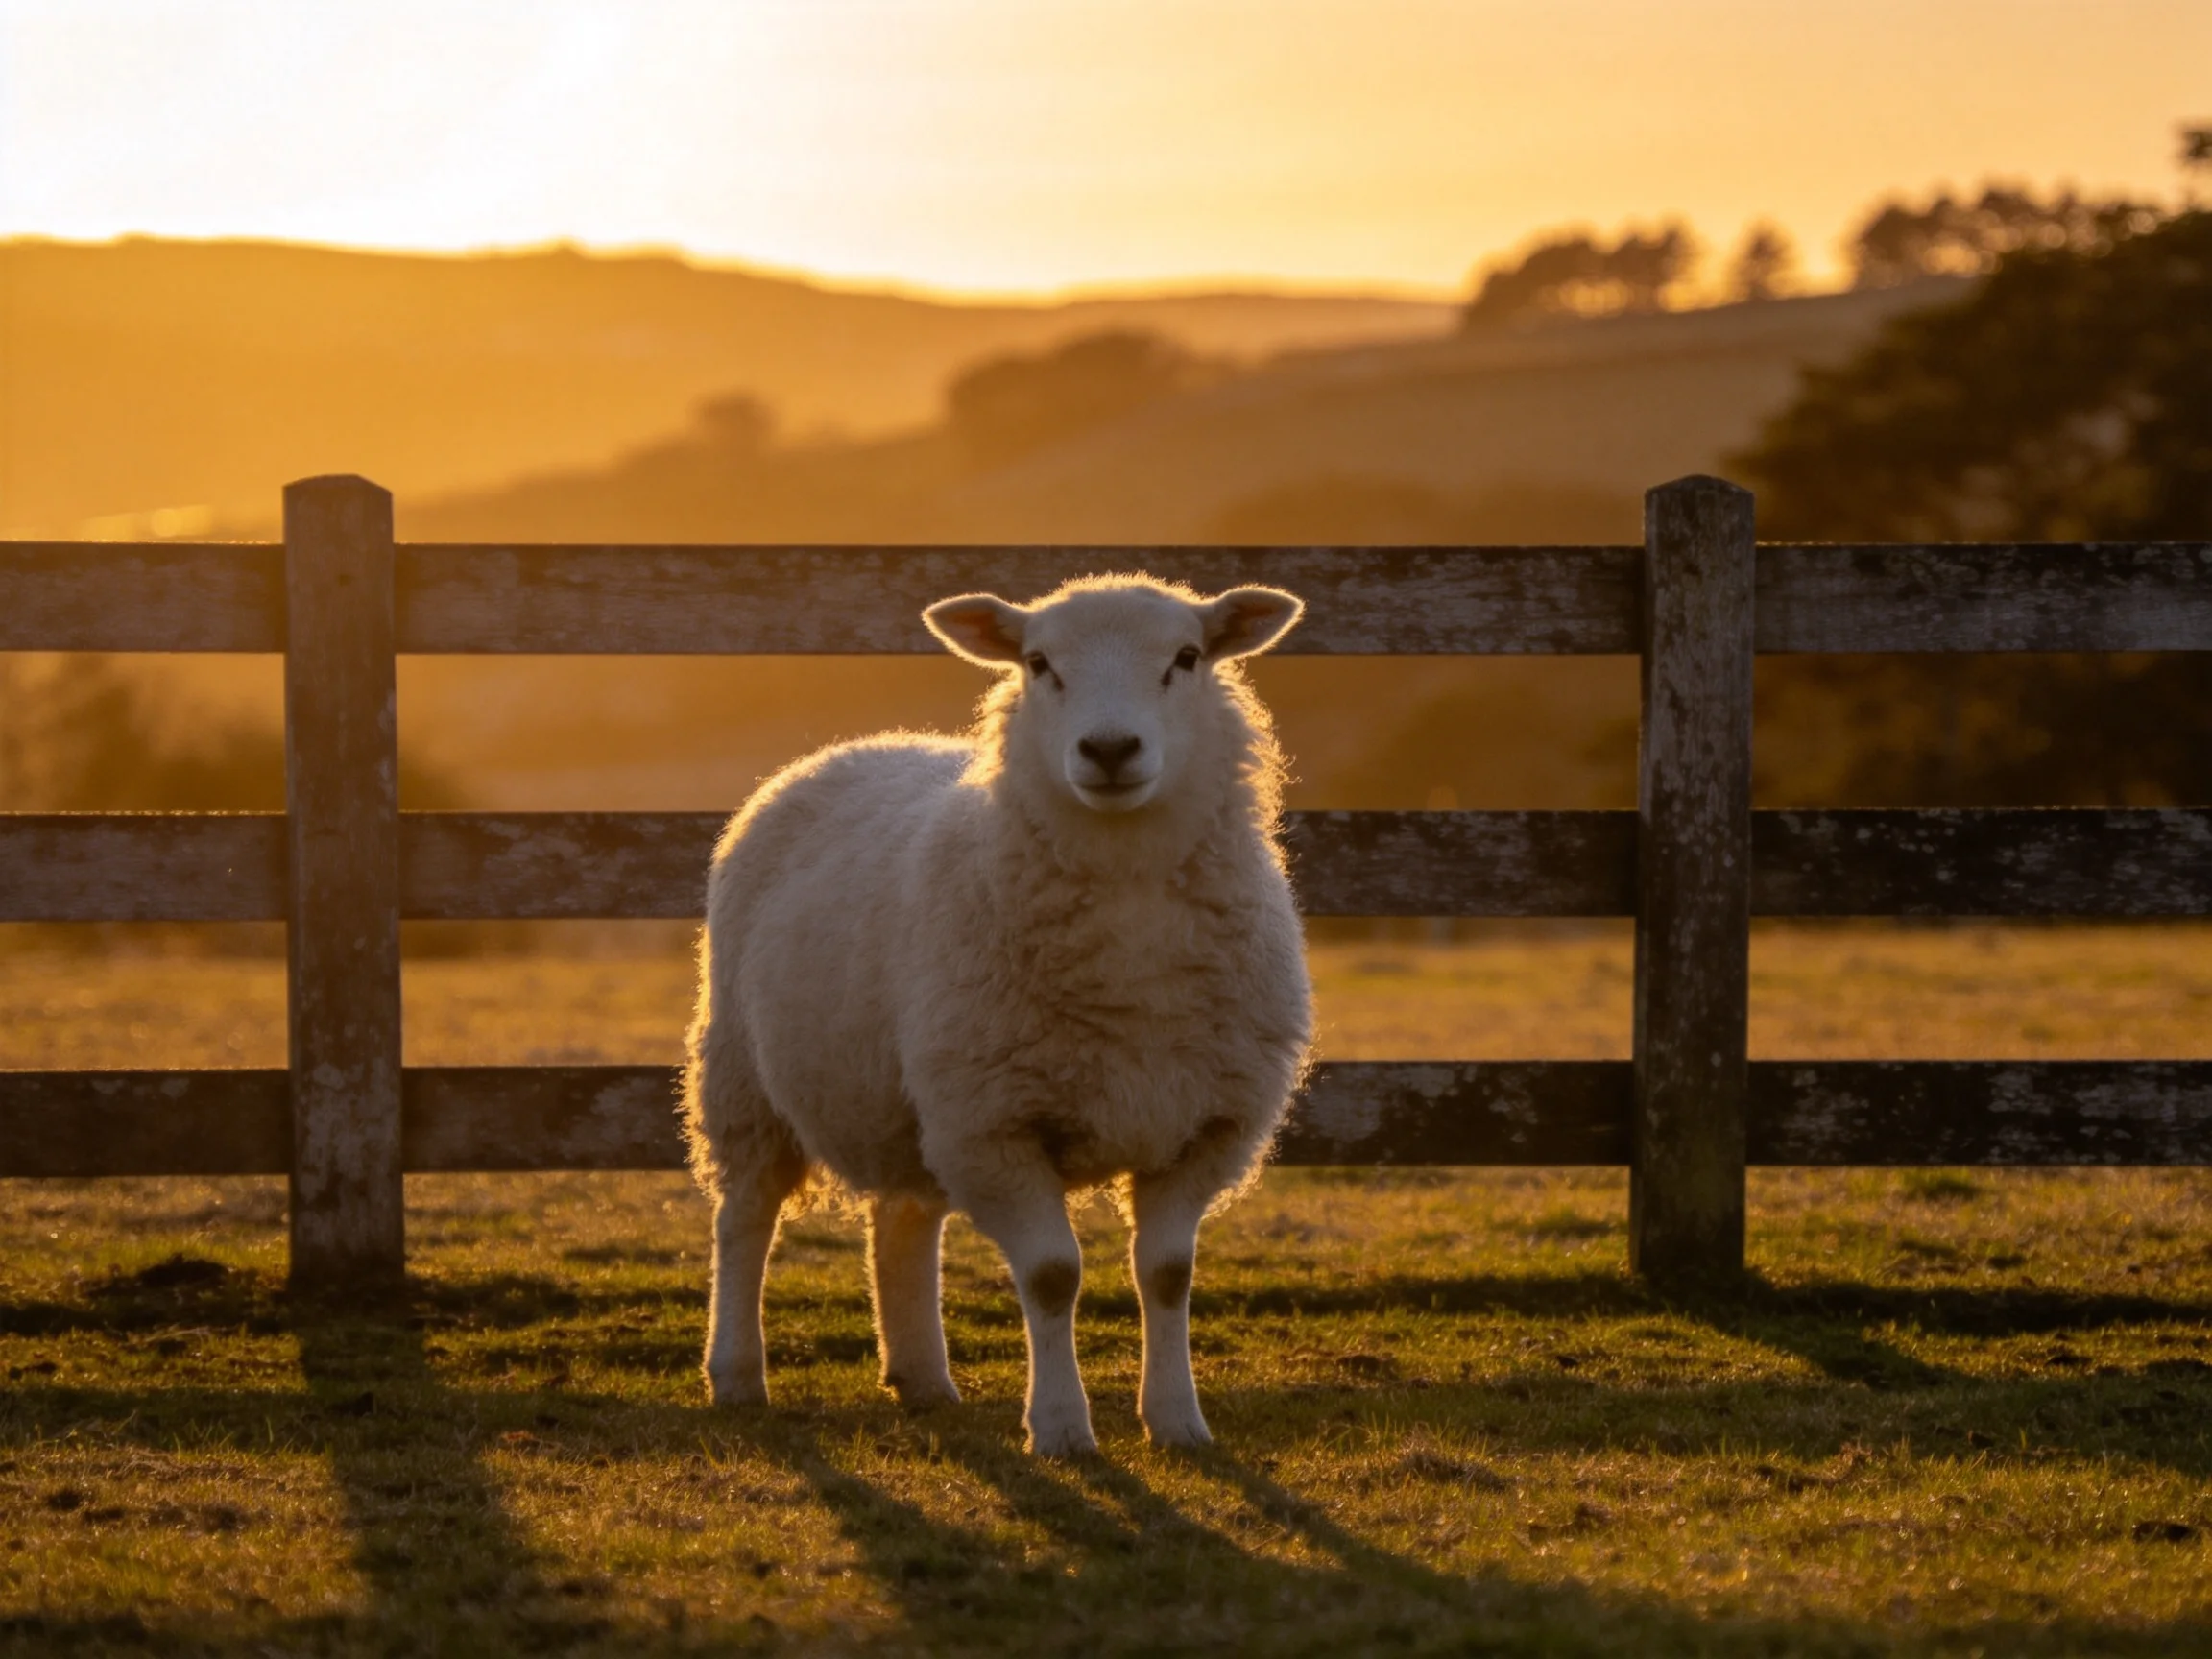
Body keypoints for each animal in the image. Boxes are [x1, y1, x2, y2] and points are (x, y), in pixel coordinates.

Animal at [681, 574, 1313, 1456]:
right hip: (745, 1079)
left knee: (902, 1219)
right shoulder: (998, 1125)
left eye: (1187, 658)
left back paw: (921, 1378)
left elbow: (1167, 1275)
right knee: (744, 1221)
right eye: (1039, 663)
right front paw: (1060, 1429)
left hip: (911, 1099)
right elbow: (1052, 1276)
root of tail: (858, 746)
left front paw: (1178, 1421)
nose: (1109, 750)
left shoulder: (1204, 1126)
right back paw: (737, 1374)